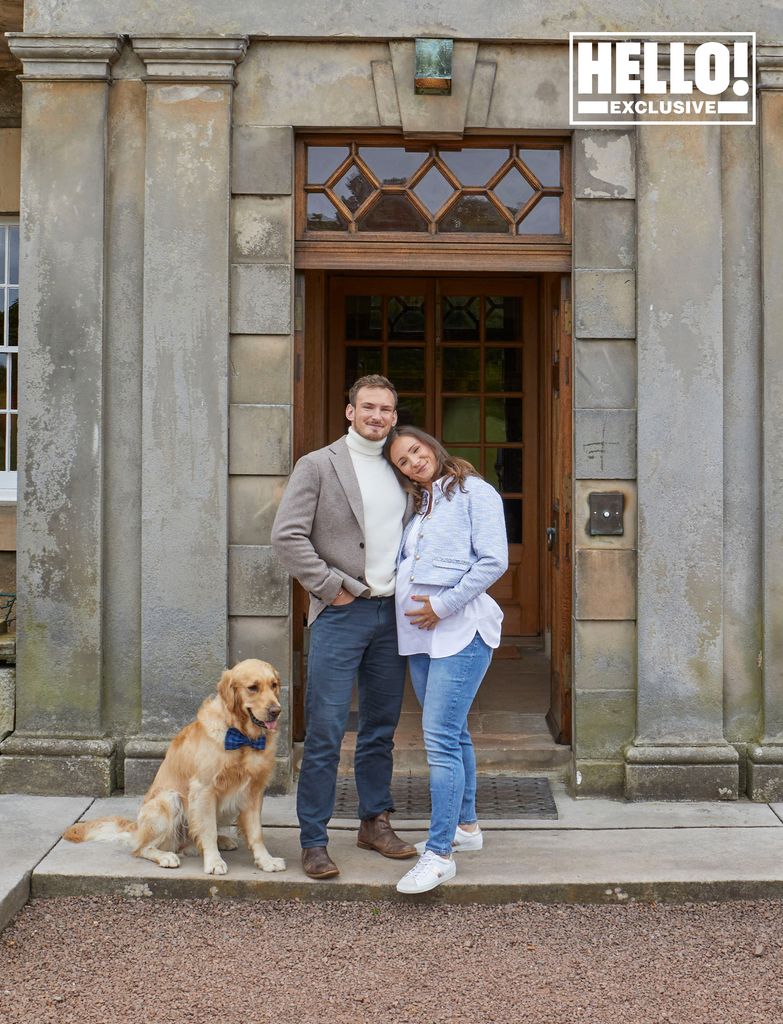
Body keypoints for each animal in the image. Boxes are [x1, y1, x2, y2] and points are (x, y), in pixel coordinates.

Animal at [63, 659, 284, 876]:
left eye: (274, 685)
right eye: (253, 687)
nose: (276, 711)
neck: (241, 736)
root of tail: (137, 827)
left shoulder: (254, 790)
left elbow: (256, 832)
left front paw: (266, 860)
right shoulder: (204, 788)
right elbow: (208, 830)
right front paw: (214, 862)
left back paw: (221, 841)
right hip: (168, 800)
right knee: (142, 848)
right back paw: (166, 857)